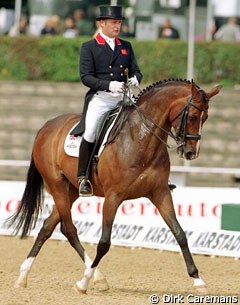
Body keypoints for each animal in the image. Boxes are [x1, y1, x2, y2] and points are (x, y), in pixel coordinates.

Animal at [9, 79, 221, 294]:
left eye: (206, 118)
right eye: (193, 116)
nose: (191, 153)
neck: (141, 138)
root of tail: (46, 126)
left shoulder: (160, 193)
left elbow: (180, 234)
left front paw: (198, 281)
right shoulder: (113, 197)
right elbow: (104, 242)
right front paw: (83, 283)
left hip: (71, 191)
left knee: (48, 227)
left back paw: (23, 276)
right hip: (57, 185)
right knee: (69, 229)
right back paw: (94, 277)